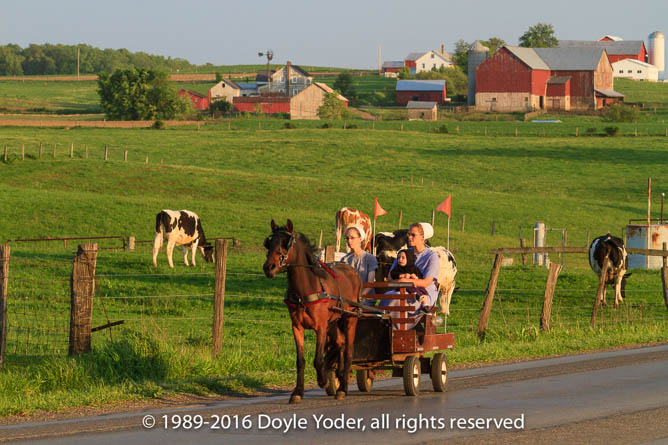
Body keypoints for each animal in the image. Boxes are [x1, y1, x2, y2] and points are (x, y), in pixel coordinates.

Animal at [263, 219, 362, 404]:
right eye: (269, 243)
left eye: (286, 243)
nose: (269, 267)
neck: (304, 290)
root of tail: (353, 271)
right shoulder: (297, 327)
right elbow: (300, 361)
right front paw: (298, 391)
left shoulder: (320, 328)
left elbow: (317, 359)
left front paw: (322, 380)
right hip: (333, 322)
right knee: (340, 343)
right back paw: (337, 374)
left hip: (350, 318)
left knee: (348, 350)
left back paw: (342, 388)